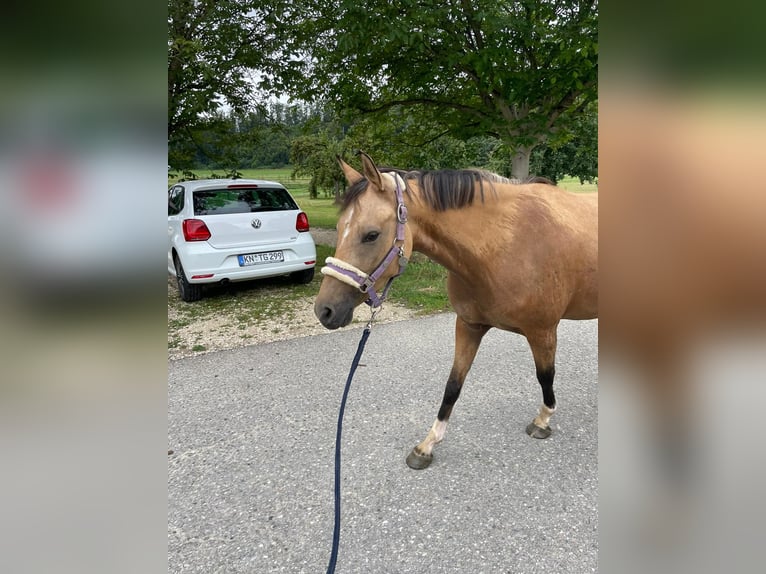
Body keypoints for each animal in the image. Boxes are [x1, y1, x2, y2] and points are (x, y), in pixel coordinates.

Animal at [314, 154, 600, 472]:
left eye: (371, 235)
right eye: (340, 227)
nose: (325, 310)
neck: (506, 244)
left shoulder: (543, 331)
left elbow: (545, 375)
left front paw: (543, 420)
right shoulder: (468, 326)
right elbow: (453, 385)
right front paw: (427, 445)